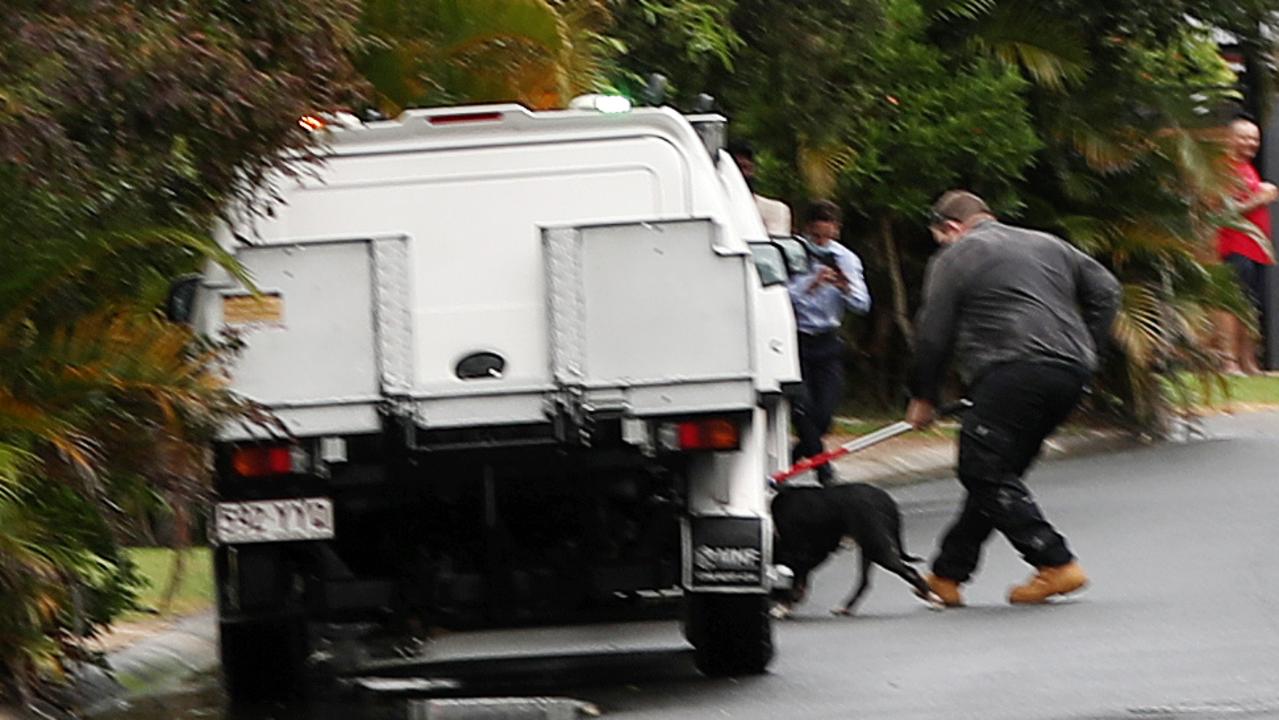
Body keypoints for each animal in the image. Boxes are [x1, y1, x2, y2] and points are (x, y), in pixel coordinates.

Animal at [767, 480, 941, 616]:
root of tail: (884, 498)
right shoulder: (810, 559)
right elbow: (800, 586)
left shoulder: (803, 557)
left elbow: (797, 586)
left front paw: (783, 607)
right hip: (868, 549)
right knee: (864, 581)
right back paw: (845, 607)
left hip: (877, 548)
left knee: (910, 572)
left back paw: (933, 599)